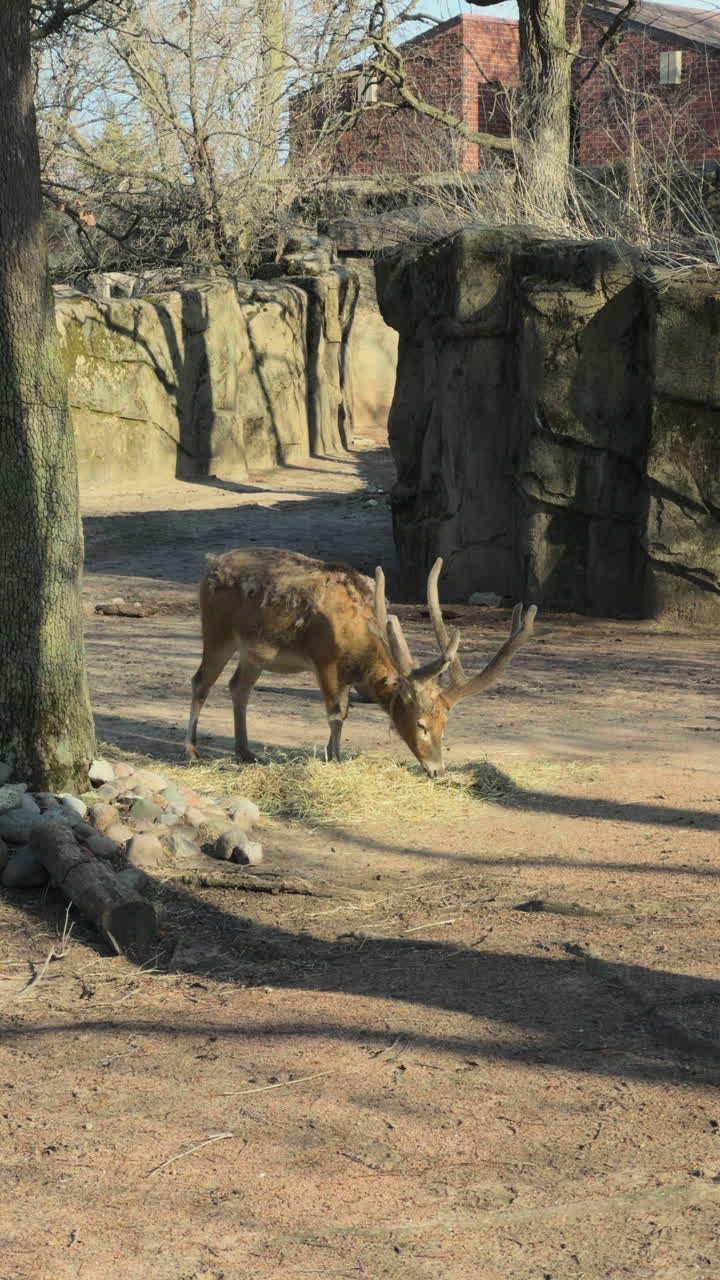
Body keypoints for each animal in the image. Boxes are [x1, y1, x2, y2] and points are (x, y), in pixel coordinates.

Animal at [184, 547, 537, 778]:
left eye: (444, 725)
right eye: (421, 724)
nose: (438, 770)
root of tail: (210, 565)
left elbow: (345, 711)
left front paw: (333, 754)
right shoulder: (324, 659)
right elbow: (336, 712)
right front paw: (335, 758)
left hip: (253, 652)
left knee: (238, 687)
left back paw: (245, 752)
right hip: (216, 631)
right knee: (200, 681)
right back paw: (192, 751)